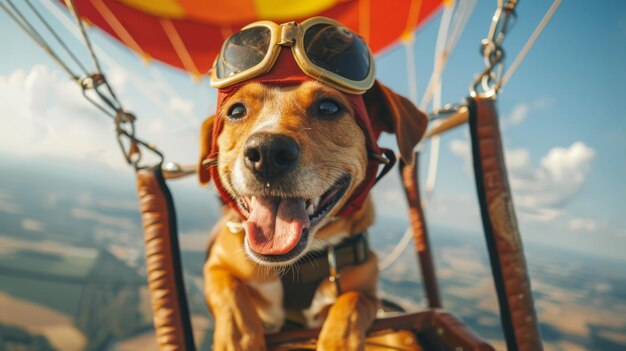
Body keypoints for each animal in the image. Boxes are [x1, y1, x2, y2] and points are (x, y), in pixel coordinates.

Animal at [197, 20, 426, 351]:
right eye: (236, 111)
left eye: (329, 107)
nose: (267, 153)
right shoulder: (216, 266)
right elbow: (231, 295)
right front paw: (237, 340)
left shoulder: (369, 292)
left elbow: (352, 303)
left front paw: (337, 342)